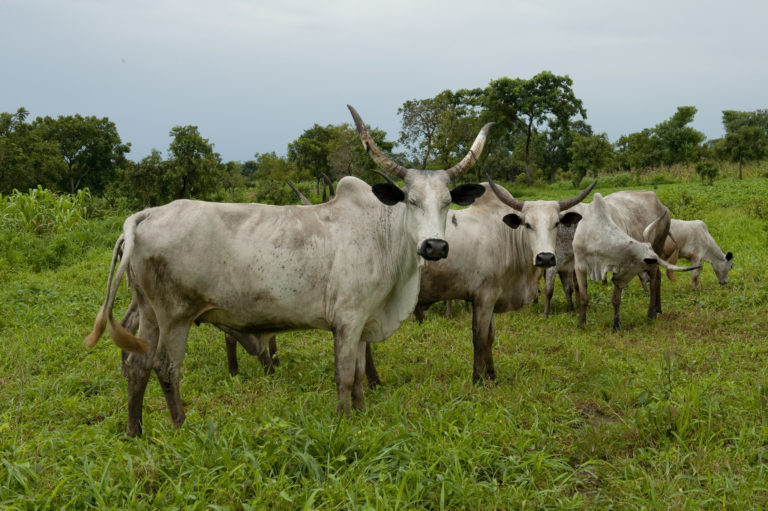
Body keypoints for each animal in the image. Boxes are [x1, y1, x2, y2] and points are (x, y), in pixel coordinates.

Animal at [84, 105, 493, 436]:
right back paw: (181, 427)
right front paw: (345, 422)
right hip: (175, 316)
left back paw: (135, 432)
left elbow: (361, 375)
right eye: (410, 200)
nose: (435, 247)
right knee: (166, 367)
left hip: (150, 313)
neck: (380, 233)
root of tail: (146, 214)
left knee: (137, 365)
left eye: (447, 202)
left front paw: (362, 415)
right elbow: (345, 375)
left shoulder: (364, 321)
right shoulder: (347, 321)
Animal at [572, 192, 700, 330]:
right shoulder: (579, 266)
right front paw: (581, 324)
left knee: (654, 281)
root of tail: (661, 204)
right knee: (658, 277)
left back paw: (651, 313)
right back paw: (658, 308)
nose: (617, 281)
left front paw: (616, 324)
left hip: (659, 246)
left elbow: (616, 299)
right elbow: (584, 298)